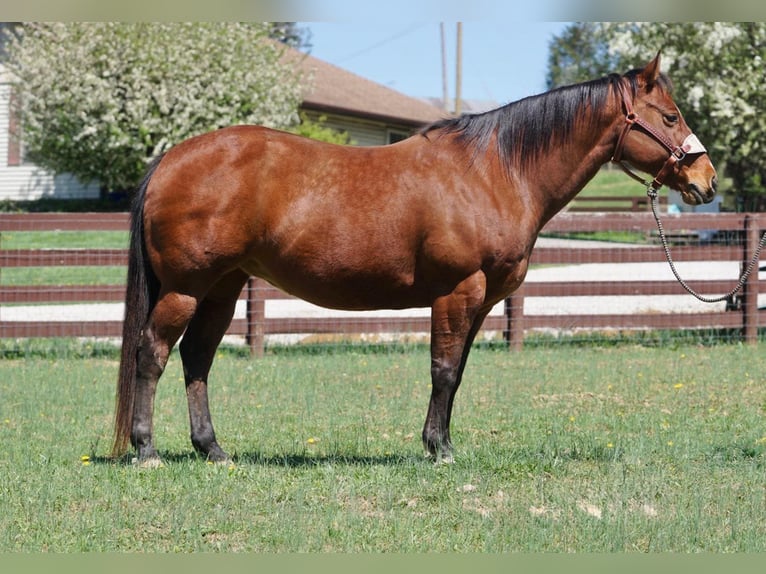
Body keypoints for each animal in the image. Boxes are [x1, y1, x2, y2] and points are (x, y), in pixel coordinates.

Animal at [111, 54, 717, 465]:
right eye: (669, 116)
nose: (706, 180)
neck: (494, 172)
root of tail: (171, 159)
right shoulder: (458, 291)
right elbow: (443, 370)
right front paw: (439, 450)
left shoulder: (481, 301)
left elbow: (457, 372)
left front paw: (441, 442)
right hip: (187, 287)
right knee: (153, 353)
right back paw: (147, 450)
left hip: (224, 285)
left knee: (197, 358)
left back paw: (213, 450)